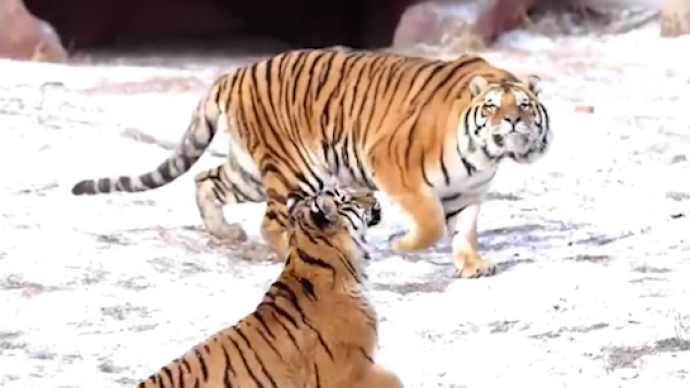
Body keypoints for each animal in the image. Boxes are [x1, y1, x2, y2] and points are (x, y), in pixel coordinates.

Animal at [72, 49, 552, 278]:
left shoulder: (468, 192)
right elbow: (432, 223)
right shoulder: (394, 168)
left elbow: (464, 230)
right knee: (270, 221)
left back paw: (226, 233)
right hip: (295, 170)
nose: (512, 121)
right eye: (492, 107)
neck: (485, 155)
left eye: (525, 106)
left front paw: (473, 266)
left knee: (207, 179)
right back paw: (286, 248)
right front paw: (401, 245)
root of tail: (232, 74)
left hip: (251, 171)